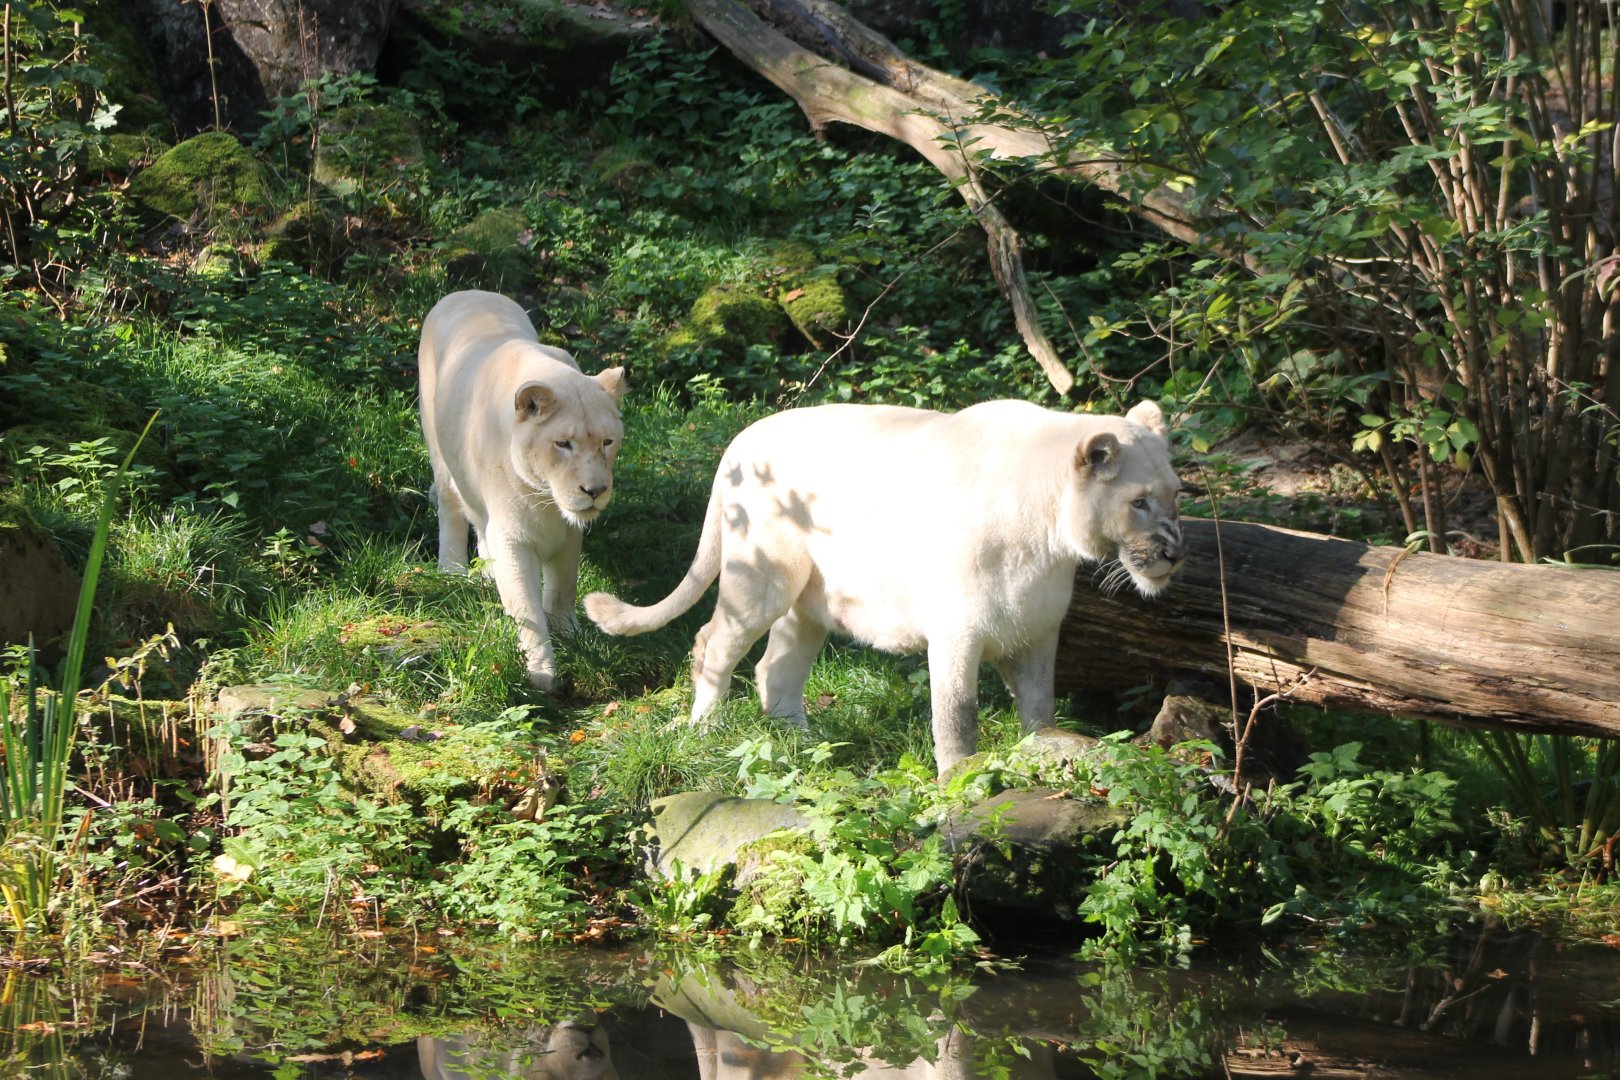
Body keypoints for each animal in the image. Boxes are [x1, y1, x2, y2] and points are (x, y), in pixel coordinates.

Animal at [419, 290, 627, 691]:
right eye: (563, 444)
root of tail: (466, 291)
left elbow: (563, 589)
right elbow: (527, 607)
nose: (595, 490)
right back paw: (452, 569)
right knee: (451, 510)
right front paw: (541, 671)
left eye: (607, 442)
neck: (545, 498)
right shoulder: (513, 537)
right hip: (439, 450)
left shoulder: (569, 533)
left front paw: (570, 635)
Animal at [583, 399, 1183, 775]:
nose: (1175, 553)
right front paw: (957, 781)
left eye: (1177, 493)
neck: (1048, 537)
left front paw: (1045, 752)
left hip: (808, 602)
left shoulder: (1036, 631)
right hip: (762, 576)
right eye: (1138, 501)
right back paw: (705, 731)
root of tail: (738, 441)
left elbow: (1041, 709)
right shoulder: (958, 631)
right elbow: (957, 717)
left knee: (774, 667)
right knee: (713, 642)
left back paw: (807, 746)